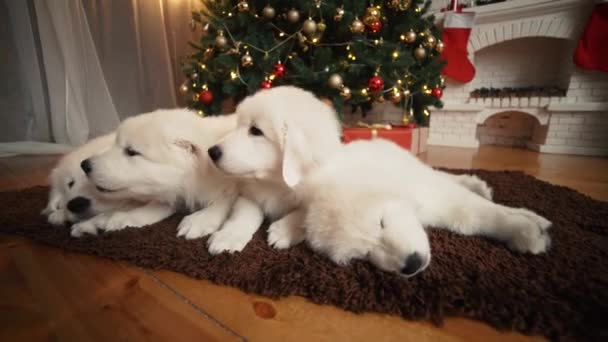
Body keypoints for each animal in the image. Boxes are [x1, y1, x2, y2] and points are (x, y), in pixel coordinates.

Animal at [70, 109, 262, 254]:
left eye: (131, 152)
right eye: (116, 144)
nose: (84, 165)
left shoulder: (234, 184)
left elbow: (223, 201)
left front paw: (200, 220)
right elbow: (149, 207)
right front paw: (101, 221)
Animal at [294, 139, 552, 278]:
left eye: (381, 222)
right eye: (363, 255)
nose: (411, 265)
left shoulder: (439, 195)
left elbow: (485, 213)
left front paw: (525, 232)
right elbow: (475, 217)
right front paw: (528, 227)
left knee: (442, 175)